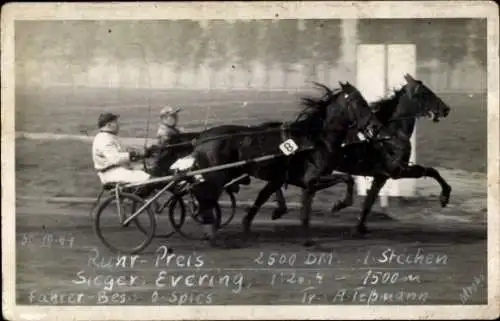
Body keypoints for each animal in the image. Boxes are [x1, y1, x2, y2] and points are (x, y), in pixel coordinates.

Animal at [185, 82, 378, 245]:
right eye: (360, 102)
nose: (374, 126)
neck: (315, 140)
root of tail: (200, 139)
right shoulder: (310, 181)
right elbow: (306, 211)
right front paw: (308, 239)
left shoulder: (286, 179)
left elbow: (347, 179)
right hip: (216, 177)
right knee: (206, 200)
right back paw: (210, 232)